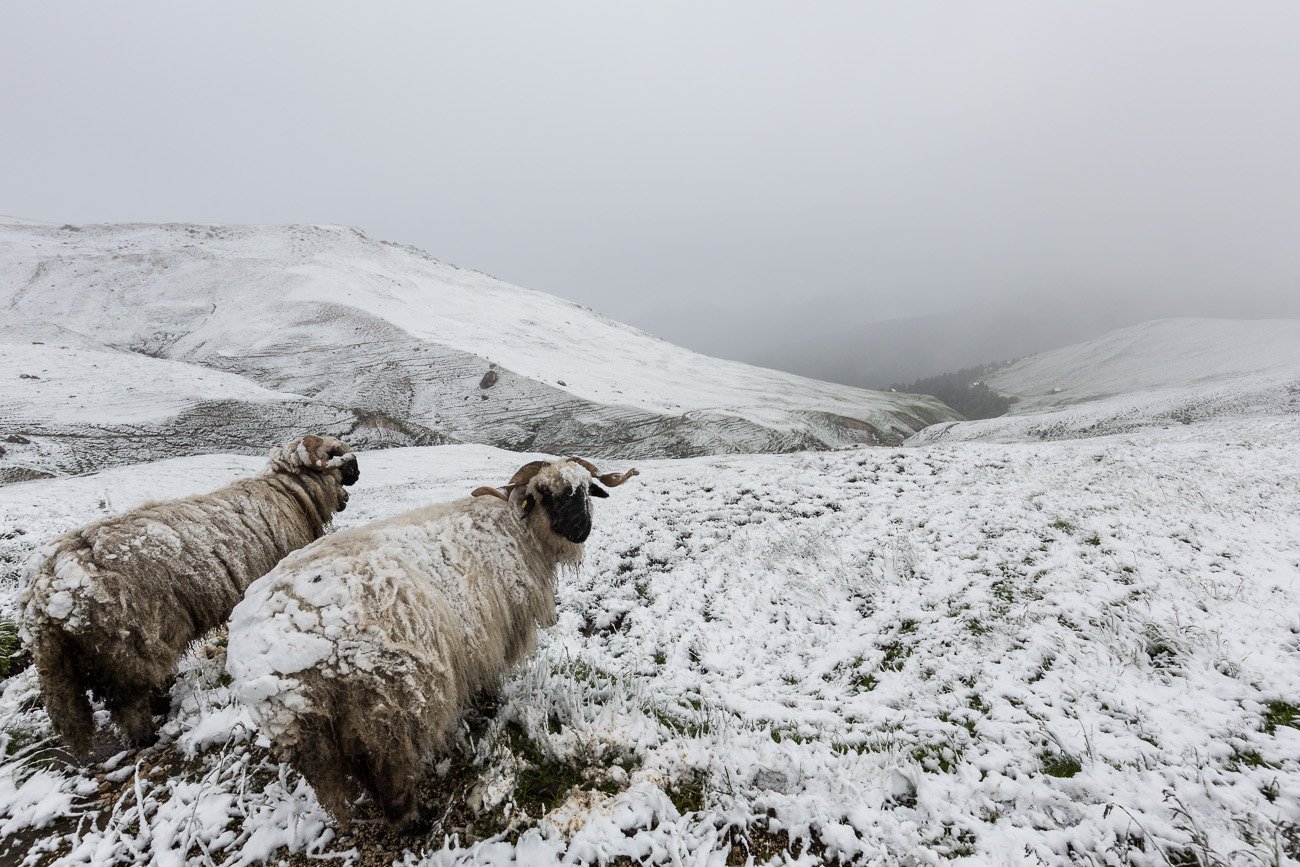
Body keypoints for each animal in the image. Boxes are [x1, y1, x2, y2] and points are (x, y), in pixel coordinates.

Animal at [16, 434, 361, 753]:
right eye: (333, 453)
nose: (358, 470)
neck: (291, 495)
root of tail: (41, 597)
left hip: (94, 656)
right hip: (127, 646)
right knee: (127, 701)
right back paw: (147, 732)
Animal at [224, 454, 639, 826]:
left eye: (585, 490)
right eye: (545, 493)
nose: (580, 528)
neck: (515, 529)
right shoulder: (491, 631)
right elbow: (491, 674)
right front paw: (489, 704)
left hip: (341, 722)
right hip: (383, 698)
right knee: (385, 764)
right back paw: (414, 817)